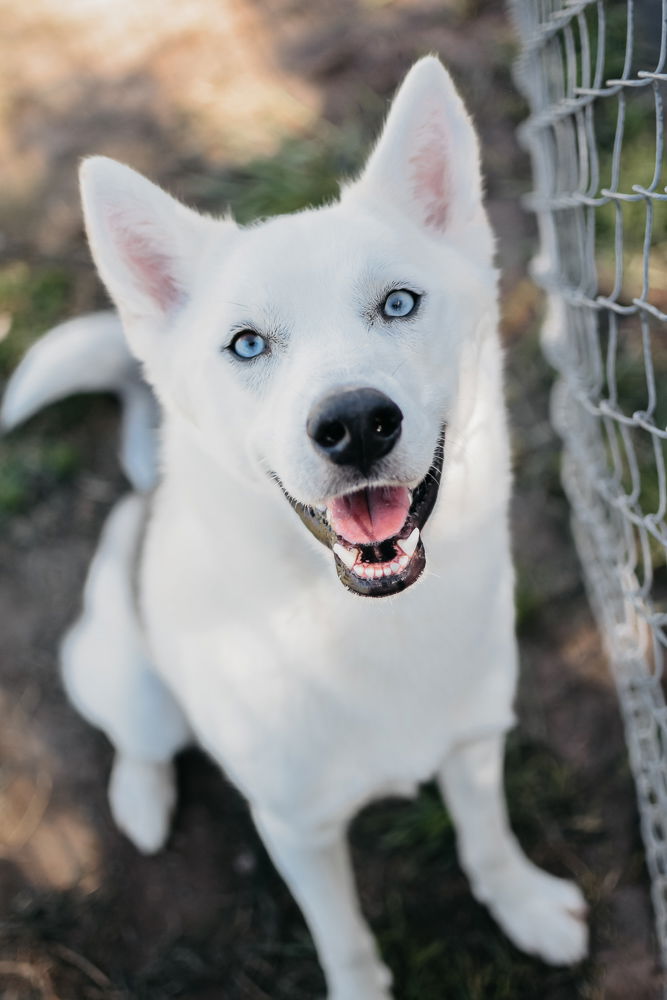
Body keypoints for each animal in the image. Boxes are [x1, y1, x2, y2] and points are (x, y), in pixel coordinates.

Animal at [5, 56, 588, 1000]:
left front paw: (523, 906)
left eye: (398, 302)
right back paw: (141, 798)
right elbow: (342, 936)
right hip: (126, 679)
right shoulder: (297, 829)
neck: (369, 626)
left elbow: (489, 842)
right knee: (140, 739)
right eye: (246, 345)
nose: (354, 424)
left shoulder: (473, 746)